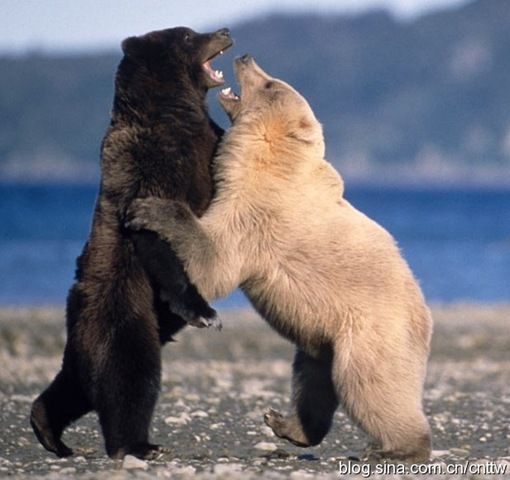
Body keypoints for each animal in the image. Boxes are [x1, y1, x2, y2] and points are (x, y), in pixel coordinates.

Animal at [29, 27, 233, 462]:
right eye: (188, 36)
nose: (224, 31)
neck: (176, 109)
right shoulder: (154, 161)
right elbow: (150, 227)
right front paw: (204, 311)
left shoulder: (206, 142)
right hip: (121, 300)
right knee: (129, 369)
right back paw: (138, 443)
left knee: (79, 378)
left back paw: (49, 429)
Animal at [129, 55, 432, 462]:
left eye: (272, 84)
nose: (245, 57)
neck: (269, 161)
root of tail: (424, 317)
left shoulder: (258, 214)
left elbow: (215, 262)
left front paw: (151, 208)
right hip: (322, 339)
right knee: (312, 380)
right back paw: (285, 423)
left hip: (373, 333)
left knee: (371, 385)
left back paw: (396, 448)